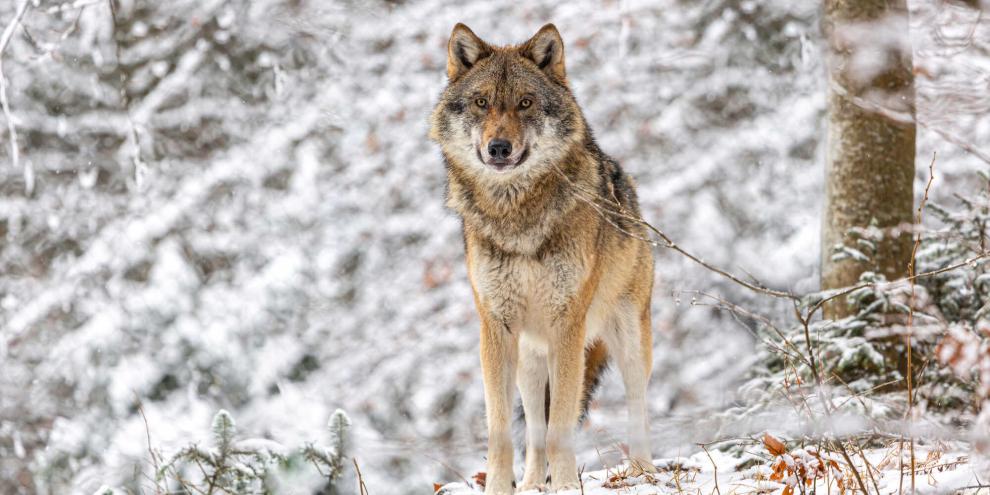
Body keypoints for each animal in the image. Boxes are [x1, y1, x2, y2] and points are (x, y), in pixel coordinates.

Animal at [429, 23, 656, 494]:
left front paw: (566, 485)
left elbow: (560, 429)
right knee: (533, 427)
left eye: (526, 102)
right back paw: (534, 482)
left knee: (637, 403)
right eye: (482, 102)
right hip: (529, 360)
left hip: (628, 340)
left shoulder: (566, 325)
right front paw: (502, 487)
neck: (517, 217)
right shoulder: (495, 328)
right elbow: (503, 432)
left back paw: (644, 472)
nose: (499, 147)